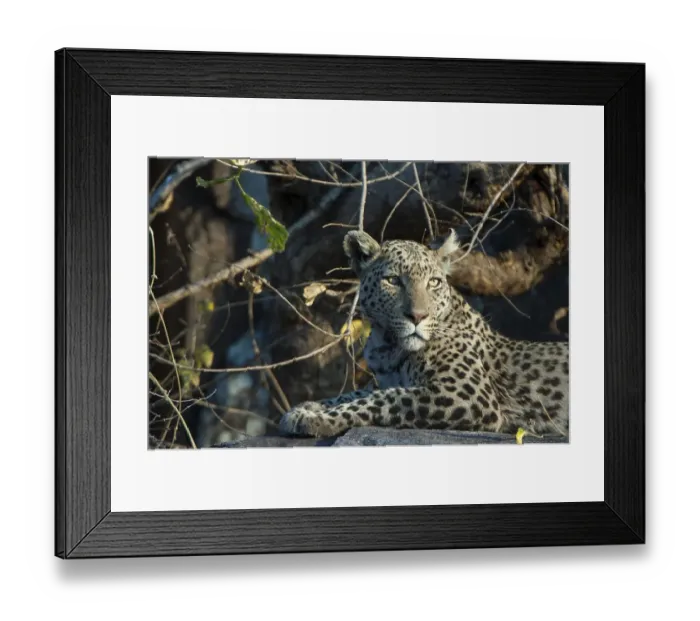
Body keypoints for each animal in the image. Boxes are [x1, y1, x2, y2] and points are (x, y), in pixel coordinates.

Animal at [278, 229, 569, 440]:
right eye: (393, 280)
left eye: (434, 282)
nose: (417, 317)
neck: (388, 345)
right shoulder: (383, 378)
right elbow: (353, 393)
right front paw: (306, 408)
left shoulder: (468, 394)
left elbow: (386, 398)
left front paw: (317, 419)